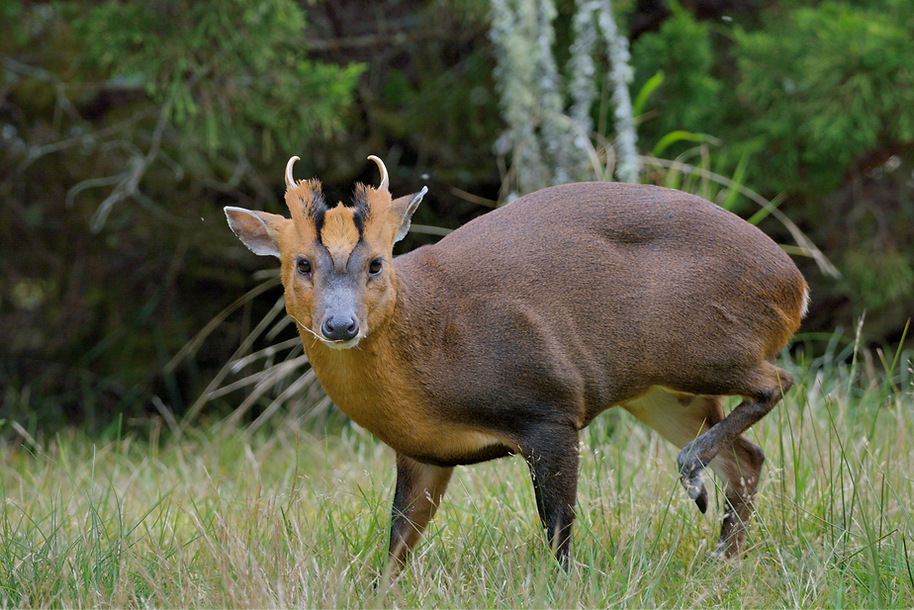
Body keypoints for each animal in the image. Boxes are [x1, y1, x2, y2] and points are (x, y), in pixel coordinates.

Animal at [224, 154, 809, 572]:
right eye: (301, 263)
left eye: (376, 263)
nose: (341, 326)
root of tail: (795, 283)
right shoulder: (422, 451)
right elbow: (397, 545)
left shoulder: (550, 406)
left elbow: (559, 532)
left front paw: (564, 586)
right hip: (661, 391)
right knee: (749, 458)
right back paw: (723, 559)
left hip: (704, 345)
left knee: (777, 381)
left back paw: (694, 479)